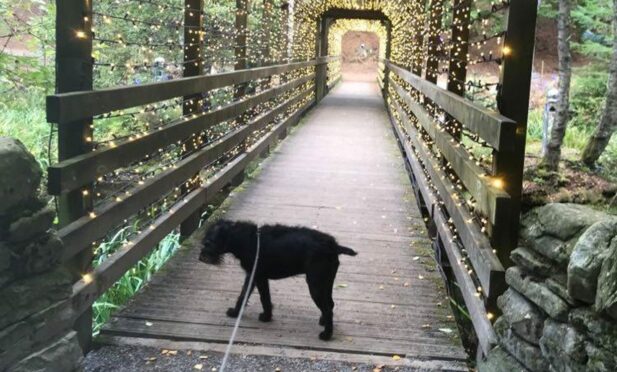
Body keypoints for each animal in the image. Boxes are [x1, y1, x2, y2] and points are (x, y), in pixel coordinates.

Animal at [199, 219, 356, 342]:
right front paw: (257, 315)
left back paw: (326, 335)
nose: (200, 258)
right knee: (330, 304)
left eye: (208, 242)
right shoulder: (256, 277)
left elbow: (255, 297)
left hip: (315, 285)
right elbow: (255, 296)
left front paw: (253, 315)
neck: (247, 240)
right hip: (326, 282)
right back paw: (323, 322)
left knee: (328, 309)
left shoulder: (256, 276)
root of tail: (333, 246)